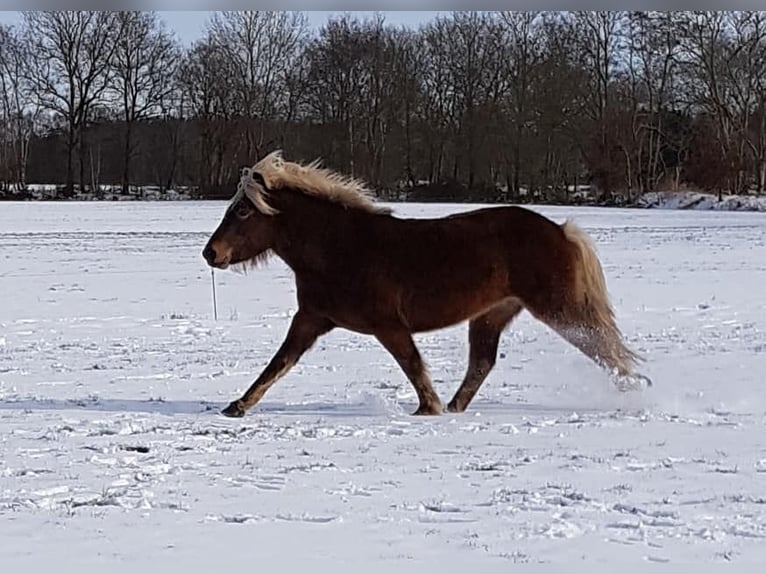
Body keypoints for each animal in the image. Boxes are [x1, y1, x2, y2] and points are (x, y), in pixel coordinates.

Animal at [201, 151, 652, 420]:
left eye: (243, 211)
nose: (211, 253)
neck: (340, 248)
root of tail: (560, 231)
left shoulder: (388, 325)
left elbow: (412, 364)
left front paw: (428, 408)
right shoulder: (311, 319)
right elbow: (278, 363)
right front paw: (237, 406)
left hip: (558, 309)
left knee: (604, 350)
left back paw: (636, 392)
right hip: (491, 315)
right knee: (482, 364)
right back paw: (455, 407)